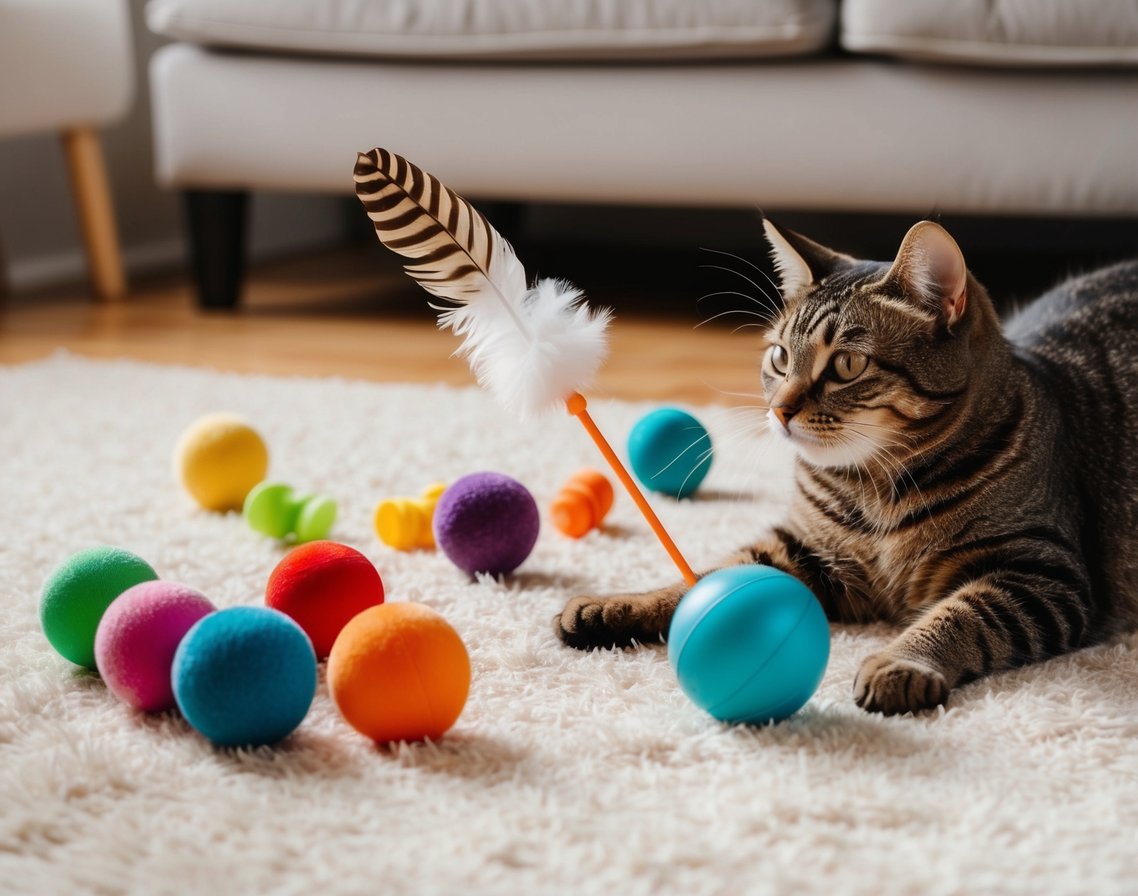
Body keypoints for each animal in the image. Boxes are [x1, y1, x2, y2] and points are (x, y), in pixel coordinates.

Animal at [555, 220, 1138, 719]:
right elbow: (707, 576)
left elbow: (963, 616)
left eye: (847, 365)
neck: (873, 486)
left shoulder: (1042, 574)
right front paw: (618, 606)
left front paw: (900, 662)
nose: (780, 409)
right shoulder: (804, 549)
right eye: (780, 357)